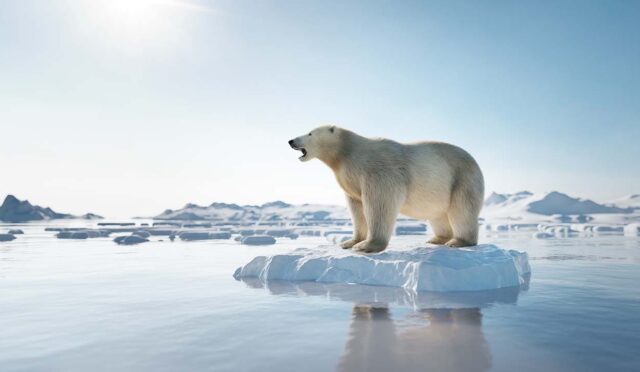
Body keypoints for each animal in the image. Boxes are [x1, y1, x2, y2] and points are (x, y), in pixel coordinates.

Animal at [288, 125, 482, 253]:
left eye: (310, 133)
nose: (291, 140)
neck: (347, 152)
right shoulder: (350, 179)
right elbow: (356, 208)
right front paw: (350, 242)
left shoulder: (378, 171)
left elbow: (379, 203)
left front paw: (366, 245)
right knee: (438, 214)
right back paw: (436, 239)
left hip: (462, 179)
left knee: (462, 210)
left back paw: (458, 241)